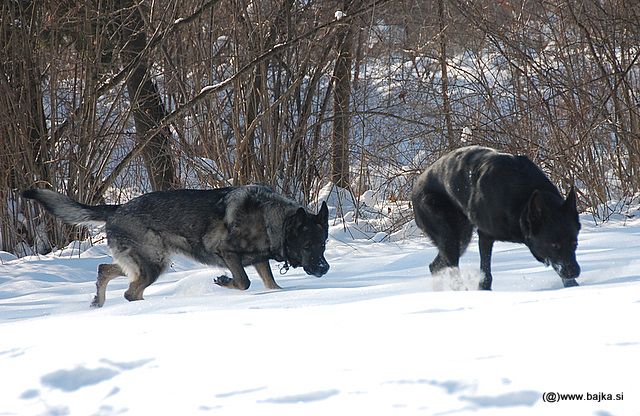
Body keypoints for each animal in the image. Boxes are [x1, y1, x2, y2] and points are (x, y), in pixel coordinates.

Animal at [22, 185, 330, 306]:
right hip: (153, 263)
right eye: (308, 245)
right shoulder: (229, 253)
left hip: (147, 262)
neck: (275, 220)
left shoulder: (259, 261)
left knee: (105, 270)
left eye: (323, 243)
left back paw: (99, 302)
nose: (325, 269)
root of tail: (117, 209)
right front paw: (223, 282)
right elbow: (243, 282)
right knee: (130, 291)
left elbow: (271, 285)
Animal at [412, 146, 584, 290]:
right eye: (554, 245)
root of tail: (416, 186)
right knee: (450, 267)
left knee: (435, 266)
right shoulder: (485, 236)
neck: (522, 200)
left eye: (575, 243)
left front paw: (572, 286)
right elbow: (485, 272)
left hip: (461, 237)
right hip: (450, 237)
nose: (575, 272)